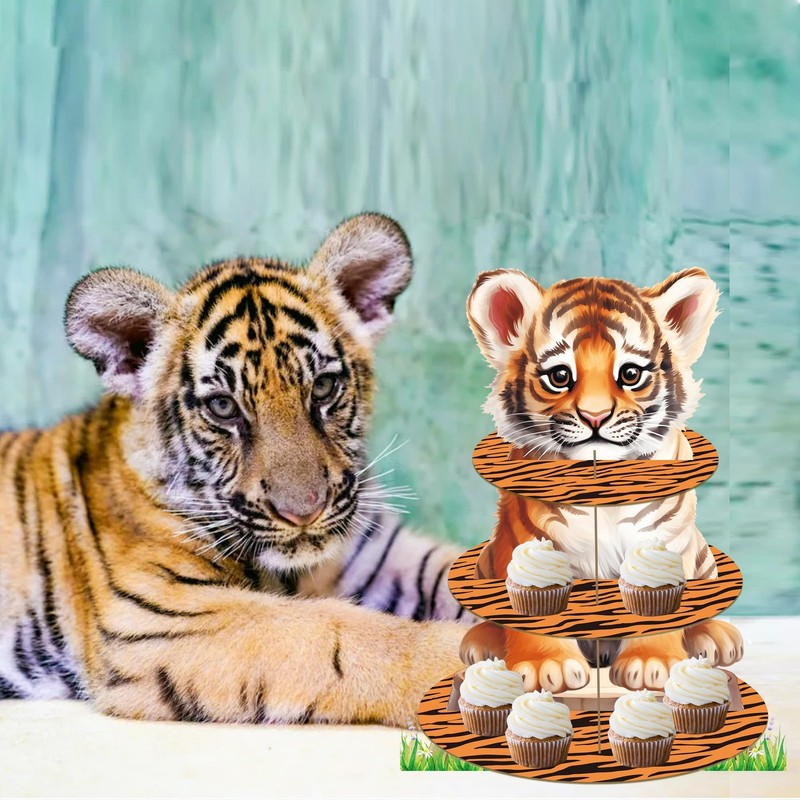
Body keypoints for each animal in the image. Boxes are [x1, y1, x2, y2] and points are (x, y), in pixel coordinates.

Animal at [0, 213, 472, 726]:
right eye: (223, 407)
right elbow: (337, 631)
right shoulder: (156, 618)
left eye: (324, 387)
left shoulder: (378, 554)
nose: (303, 512)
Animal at [459, 268, 744, 693]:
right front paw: (546, 667)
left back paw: (714, 637)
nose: (595, 417)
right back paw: (482, 642)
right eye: (560, 376)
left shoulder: (664, 539)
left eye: (630, 374)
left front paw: (651, 663)